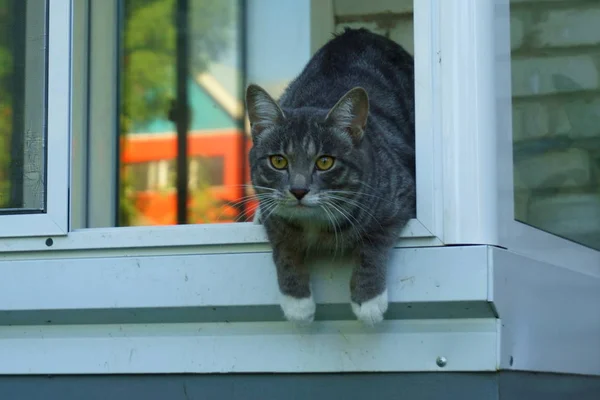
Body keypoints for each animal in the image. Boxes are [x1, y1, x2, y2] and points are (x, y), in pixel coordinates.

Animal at [244, 28, 412, 328]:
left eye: (325, 162)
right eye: (278, 161)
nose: (299, 190)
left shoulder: (400, 196)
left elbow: (373, 243)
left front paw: (369, 301)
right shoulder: (274, 215)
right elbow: (284, 247)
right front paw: (297, 304)